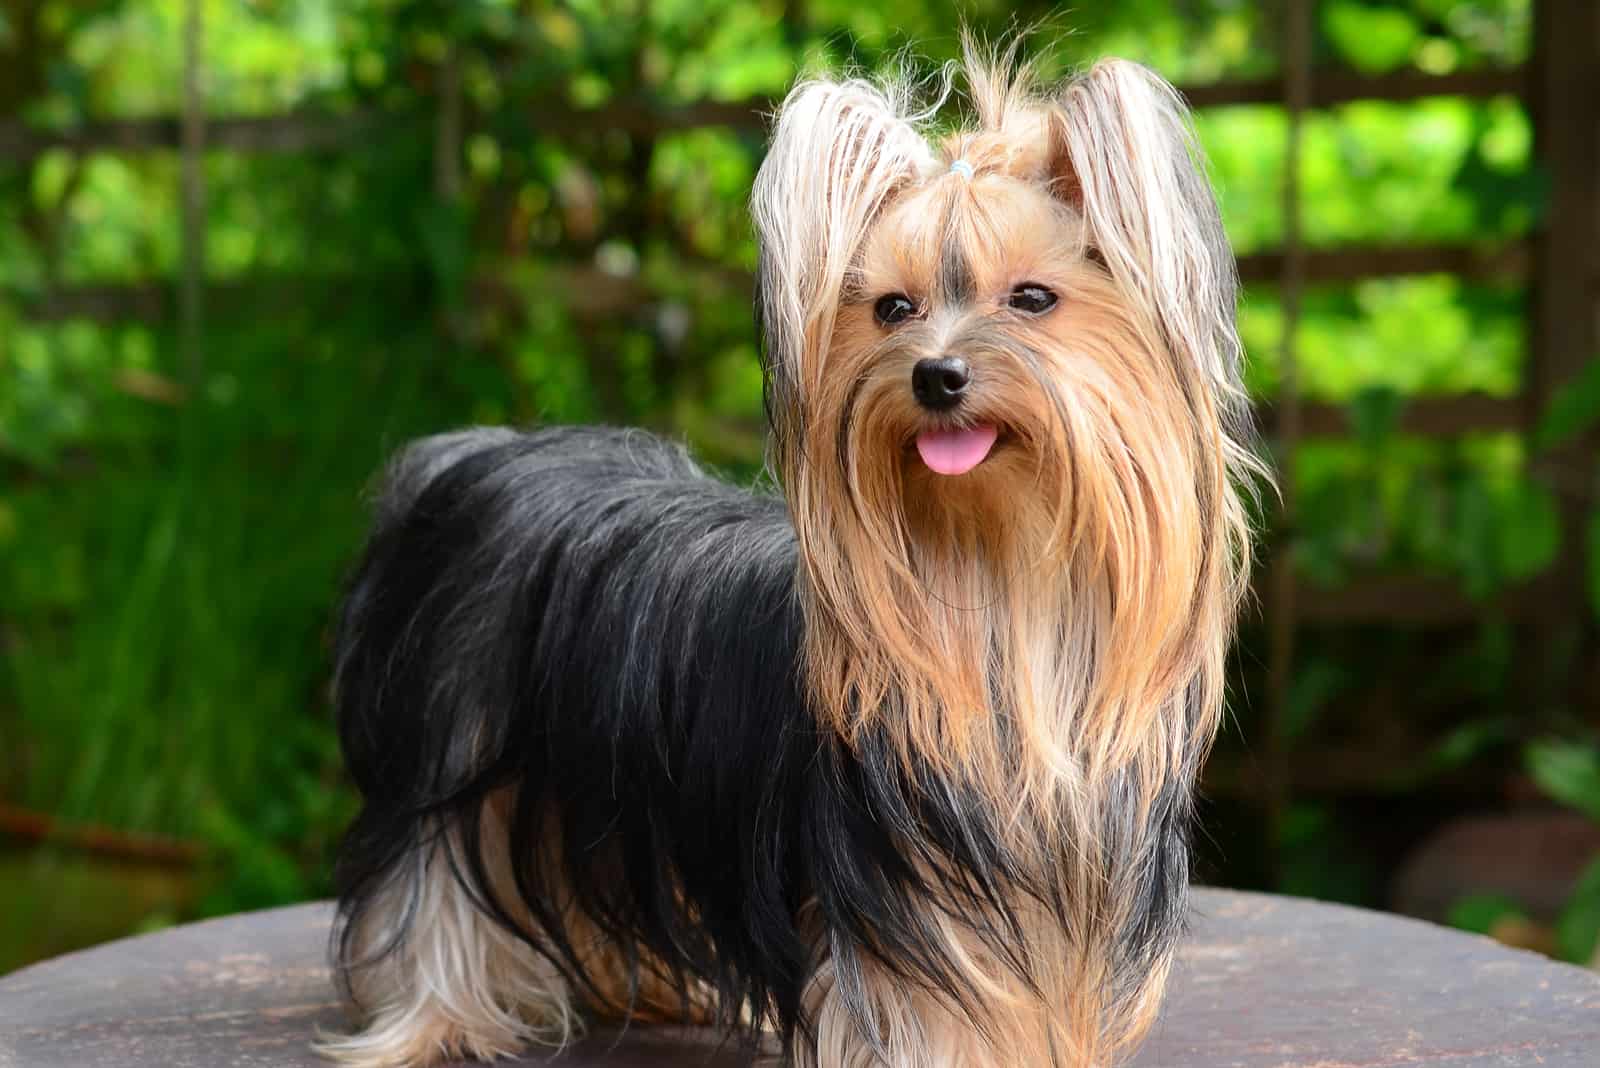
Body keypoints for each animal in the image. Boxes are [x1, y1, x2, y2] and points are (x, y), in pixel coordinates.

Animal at [318, 39, 1254, 1068]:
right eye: (892, 308)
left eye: (1033, 299)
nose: (936, 374)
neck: (999, 575)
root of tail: (466, 454)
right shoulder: (905, 919)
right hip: (456, 743)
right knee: (432, 880)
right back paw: (432, 1021)